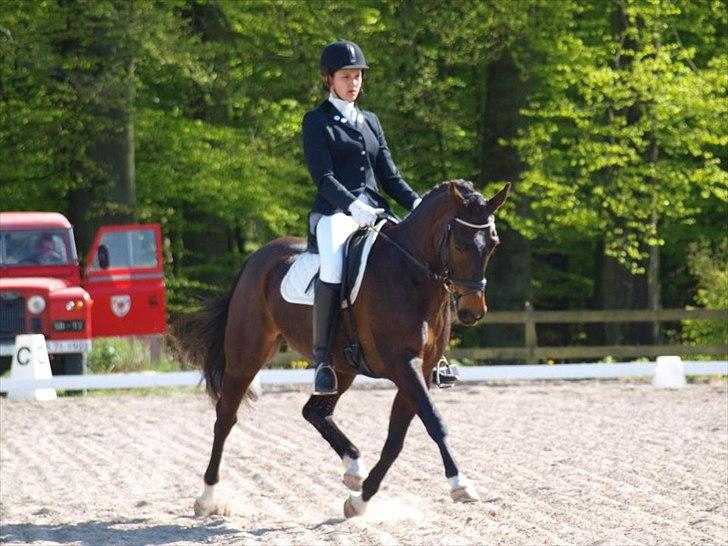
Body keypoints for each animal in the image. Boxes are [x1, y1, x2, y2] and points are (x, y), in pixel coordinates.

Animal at [175, 179, 510, 518]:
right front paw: (460, 484)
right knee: (225, 418)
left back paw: (353, 467)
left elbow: (395, 439)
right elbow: (434, 421)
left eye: (493, 244)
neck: (411, 274)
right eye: (460, 245)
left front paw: (361, 500)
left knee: (314, 411)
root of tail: (257, 257)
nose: (472, 311)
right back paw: (207, 498)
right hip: (246, 356)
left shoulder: (421, 368)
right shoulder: (403, 364)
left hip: (342, 367)